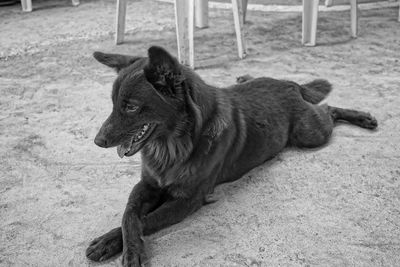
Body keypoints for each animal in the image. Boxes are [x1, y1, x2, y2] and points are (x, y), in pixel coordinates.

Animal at [85, 45, 378, 266]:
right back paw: (244, 77)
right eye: (113, 104)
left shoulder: (187, 200)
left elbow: (146, 220)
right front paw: (115, 243)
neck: (174, 145)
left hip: (310, 134)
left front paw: (123, 248)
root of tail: (289, 83)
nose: (98, 141)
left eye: (132, 107)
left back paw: (363, 117)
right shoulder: (146, 185)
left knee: (329, 109)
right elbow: (129, 217)